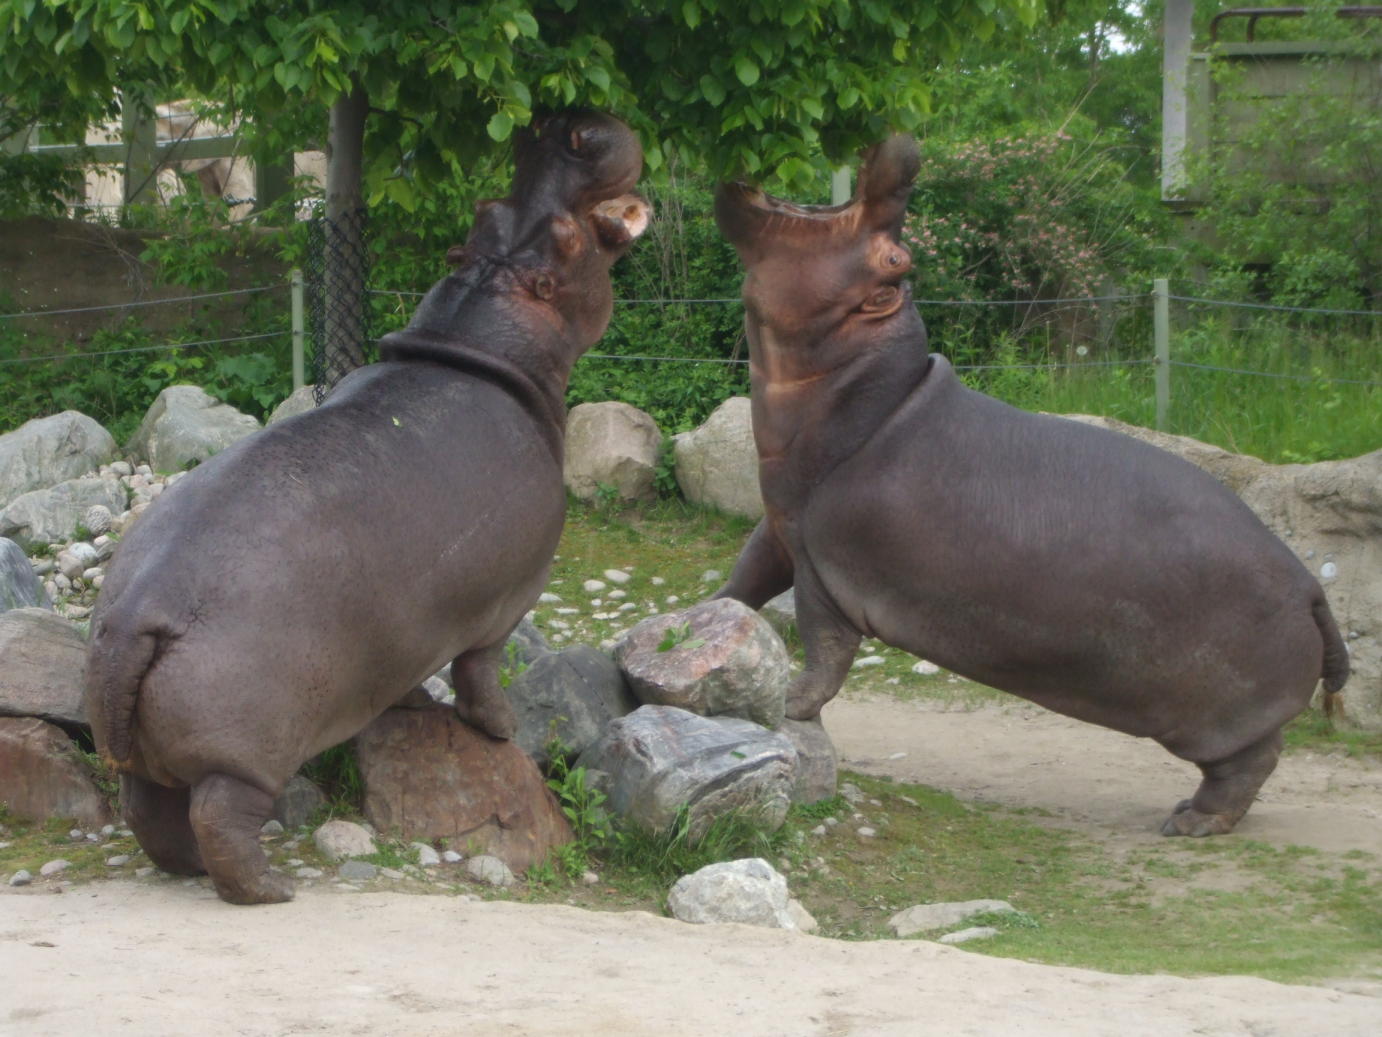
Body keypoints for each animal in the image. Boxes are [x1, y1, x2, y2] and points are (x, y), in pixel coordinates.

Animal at [83, 110, 651, 903]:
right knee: (220, 814)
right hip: (248, 753)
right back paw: (270, 890)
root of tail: (139, 613)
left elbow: (410, 674)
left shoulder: (411, 625)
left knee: (149, 809)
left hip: (137, 747)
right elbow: (479, 672)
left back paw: (190, 868)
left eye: (490, 207)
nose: (567, 124)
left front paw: (413, 708)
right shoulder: (508, 600)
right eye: (570, 241)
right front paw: (504, 732)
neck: (476, 323)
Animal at [711, 135, 1349, 837]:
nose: (905, 146)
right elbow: (742, 584)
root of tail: (1312, 588)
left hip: (1223, 721)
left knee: (1251, 762)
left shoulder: (823, 562)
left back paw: (1189, 823)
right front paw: (693, 625)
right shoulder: (780, 525)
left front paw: (792, 703)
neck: (865, 390)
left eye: (897, 259)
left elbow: (825, 646)